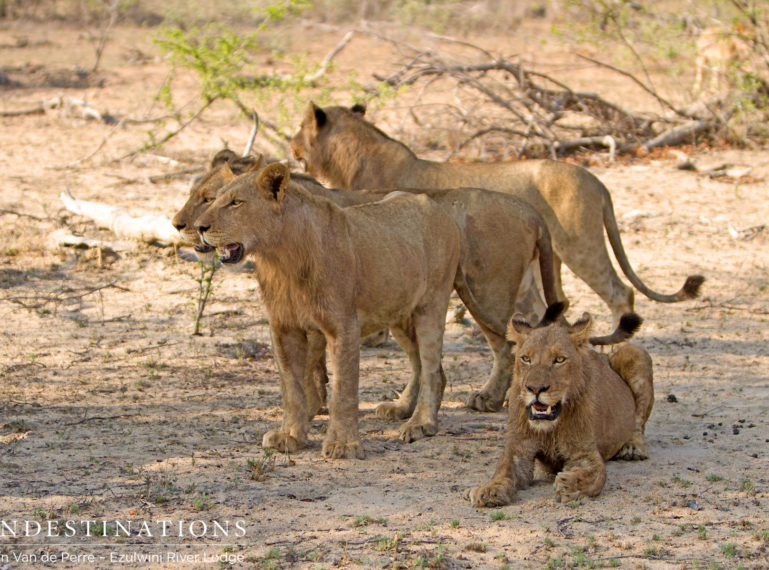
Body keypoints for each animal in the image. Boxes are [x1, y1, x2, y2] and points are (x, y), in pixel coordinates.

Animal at [195, 162, 464, 454]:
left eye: (236, 203)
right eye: (214, 200)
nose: (199, 226)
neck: (280, 259)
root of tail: (434, 204)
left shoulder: (343, 326)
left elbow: (343, 389)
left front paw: (343, 444)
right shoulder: (284, 328)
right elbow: (292, 387)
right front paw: (290, 435)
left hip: (431, 305)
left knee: (431, 369)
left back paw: (421, 423)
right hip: (398, 314)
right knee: (425, 366)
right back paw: (401, 408)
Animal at [292, 101, 704, 324]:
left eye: (299, 128)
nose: (291, 143)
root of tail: (596, 180)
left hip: (580, 245)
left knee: (620, 293)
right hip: (551, 258)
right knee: (557, 304)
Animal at [464, 302, 652, 506]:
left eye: (559, 359)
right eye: (526, 359)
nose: (535, 388)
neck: (550, 428)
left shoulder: (584, 452)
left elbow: (596, 475)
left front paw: (570, 484)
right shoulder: (518, 449)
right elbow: (502, 470)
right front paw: (489, 490)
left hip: (635, 353)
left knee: (639, 422)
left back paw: (632, 448)